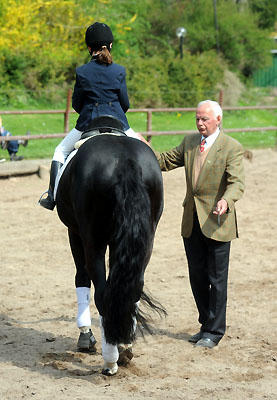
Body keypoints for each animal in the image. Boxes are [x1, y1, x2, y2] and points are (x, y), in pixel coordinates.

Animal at [55, 115, 165, 376]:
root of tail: (125, 160)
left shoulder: (75, 232)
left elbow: (81, 278)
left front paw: (85, 336)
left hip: (92, 240)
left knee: (102, 294)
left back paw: (109, 360)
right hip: (144, 240)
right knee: (131, 289)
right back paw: (123, 348)